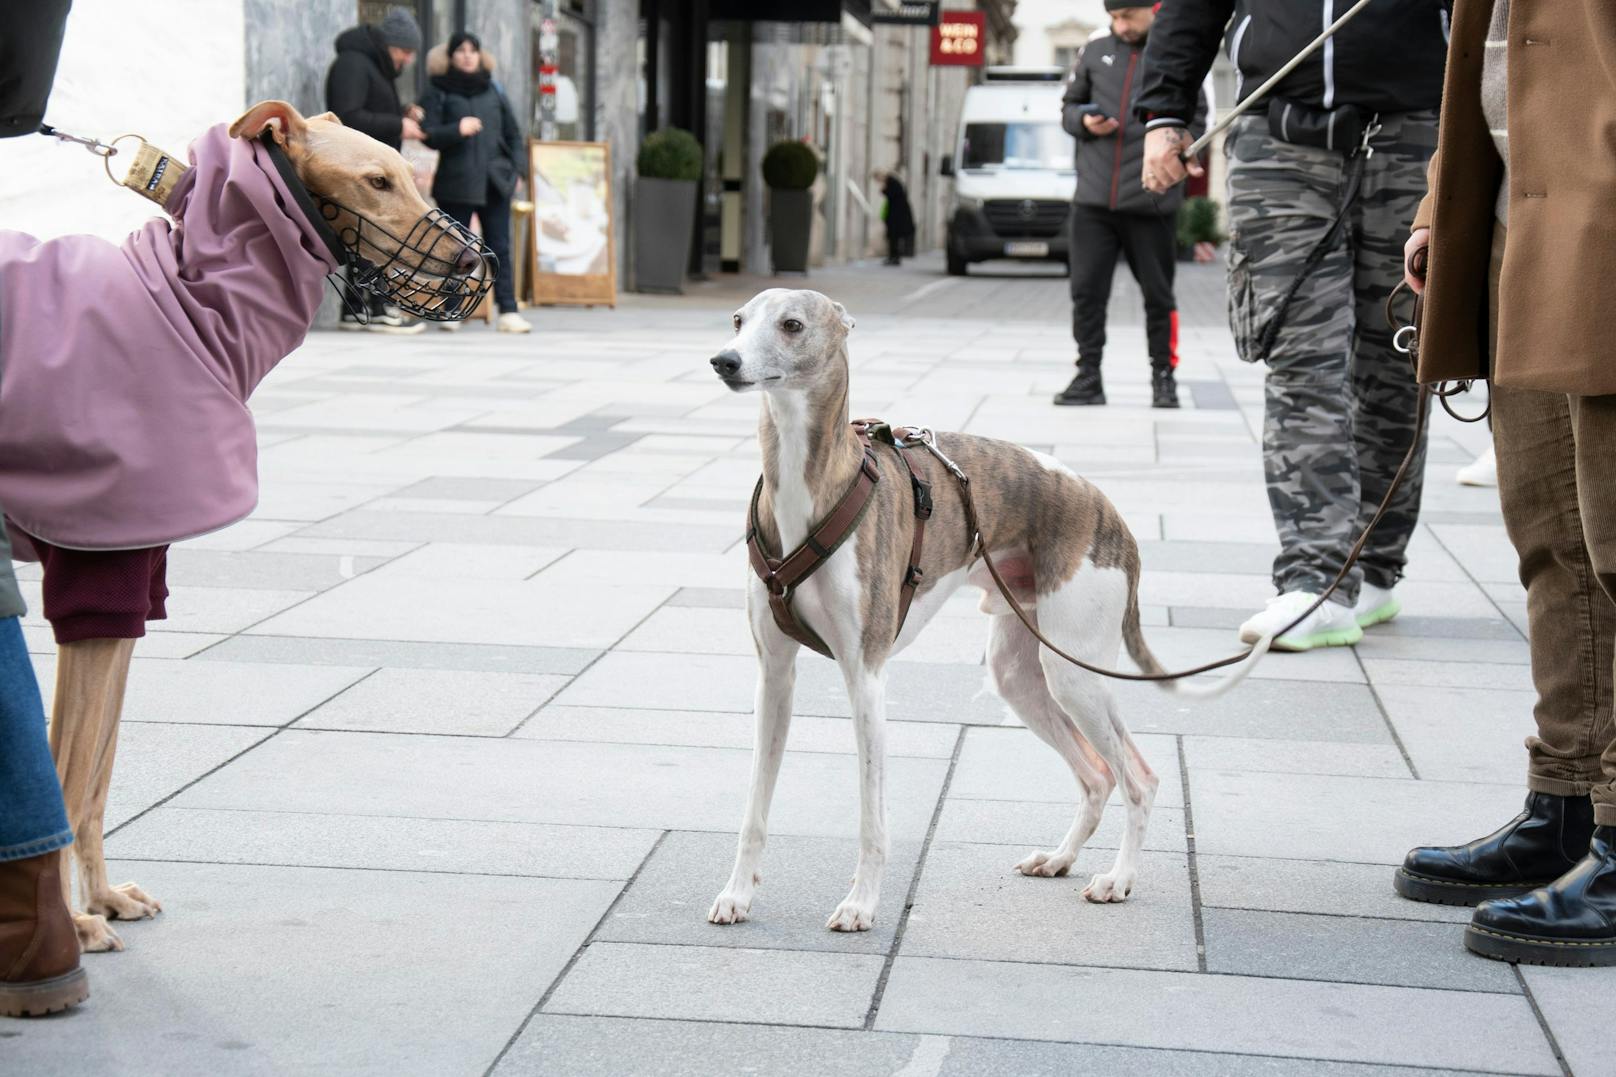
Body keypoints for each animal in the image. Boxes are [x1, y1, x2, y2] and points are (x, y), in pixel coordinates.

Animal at [34, 100, 475, 944]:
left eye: (410, 173)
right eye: (377, 180)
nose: (471, 264)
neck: (185, 303)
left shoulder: (133, 585)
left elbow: (98, 769)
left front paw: (101, 899)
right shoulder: (94, 577)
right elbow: (69, 770)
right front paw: (72, 922)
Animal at [707, 289, 1273, 924]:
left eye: (792, 324)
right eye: (738, 320)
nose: (724, 361)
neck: (812, 487)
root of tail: (1114, 516)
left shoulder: (866, 676)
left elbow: (872, 818)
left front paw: (860, 905)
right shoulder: (774, 676)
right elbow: (754, 806)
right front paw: (737, 893)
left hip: (1073, 671)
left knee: (1139, 778)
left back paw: (1118, 879)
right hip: (1021, 673)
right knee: (1096, 776)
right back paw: (1059, 859)